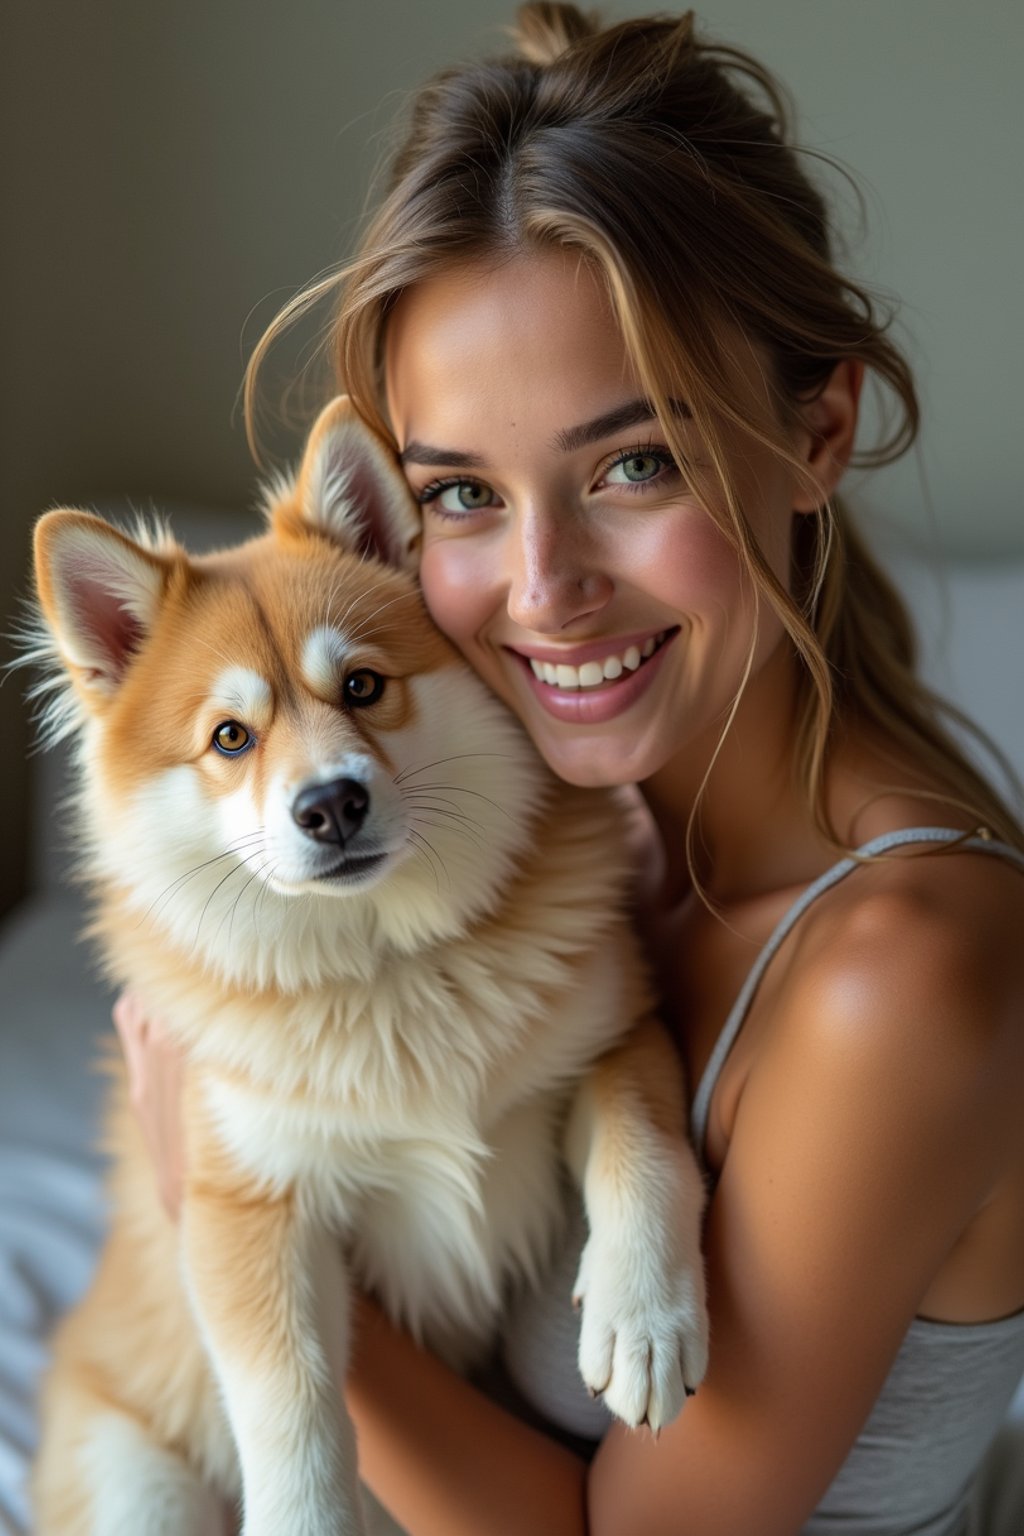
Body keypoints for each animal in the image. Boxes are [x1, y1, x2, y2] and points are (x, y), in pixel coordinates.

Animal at [28, 399, 709, 1536]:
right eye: (230, 738)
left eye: (361, 686)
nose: (331, 805)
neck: (385, 964)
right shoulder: (246, 1201)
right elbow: (291, 1400)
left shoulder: (617, 1034)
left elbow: (643, 1148)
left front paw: (645, 1315)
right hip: (135, 1482)